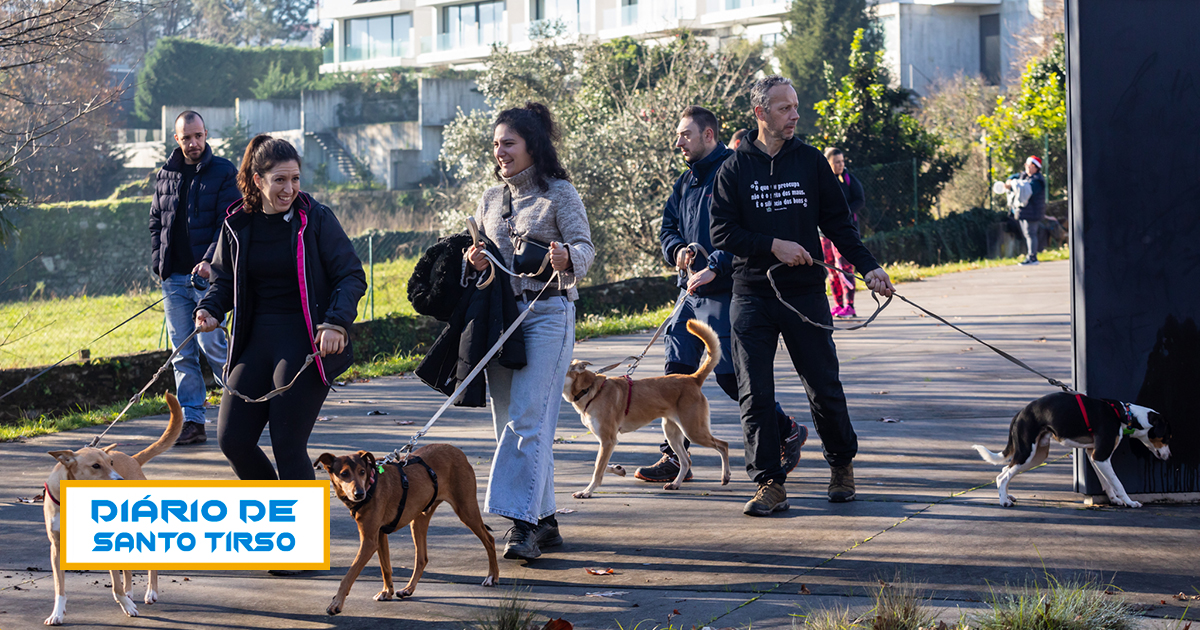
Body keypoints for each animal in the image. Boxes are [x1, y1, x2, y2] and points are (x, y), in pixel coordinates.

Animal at [42, 393, 180, 624]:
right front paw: (57, 614)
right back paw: (130, 592)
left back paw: (150, 592)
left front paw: (127, 605)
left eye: (111, 462)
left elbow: (115, 585)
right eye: (96, 466)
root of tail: (133, 459)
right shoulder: (57, 548)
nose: (120, 480)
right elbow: (59, 588)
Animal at [316, 441, 499, 614]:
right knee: (422, 558)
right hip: (419, 519)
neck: (370, 485)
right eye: (344, 474)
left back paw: (492, 577)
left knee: (489, 539)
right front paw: (387, 592)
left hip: (466, 510)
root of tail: (457, 451)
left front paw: (336, 604)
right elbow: (385, 567)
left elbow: (349, 575)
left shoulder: (369, 541)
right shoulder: (380, 536)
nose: (359, 493)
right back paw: (408, 589)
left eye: (362, 471)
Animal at [974, 391, 1171, 508]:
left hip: (1036, 456)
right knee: (1002, 476)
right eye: (1168, 437)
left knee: (1004, 471)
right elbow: (1118, 483)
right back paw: (1003, 501)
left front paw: (1114, 500)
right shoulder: (1101, 456)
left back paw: (1007, 496)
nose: (1169, 457)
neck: (1124, 415)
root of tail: (1019, 414)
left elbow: (1106, 482)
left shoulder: (1094, 455)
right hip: (1026, 453)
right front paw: (1129, 502)